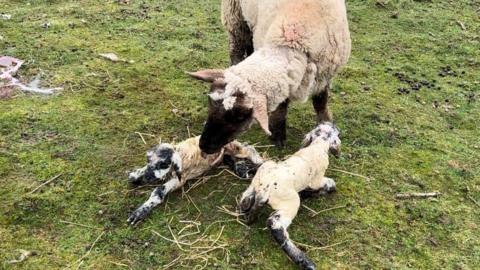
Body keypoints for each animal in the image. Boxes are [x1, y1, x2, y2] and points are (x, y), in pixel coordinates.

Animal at [126, 135, 262, 226]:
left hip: (236, 147)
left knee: (248, 148)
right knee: (227, 157)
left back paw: (257, 162)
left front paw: (139, 212)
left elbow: (159, 190)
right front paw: (135, 175)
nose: (148, 177)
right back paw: (241, 169)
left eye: (163, 163)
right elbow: (138, 173)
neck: (179, 152)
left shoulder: (180, 179)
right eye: (148, 160)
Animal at [238, 122, 340, 270]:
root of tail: (265, 189)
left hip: (261, 174)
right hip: (290, 203)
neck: (318, 145)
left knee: (245, 199)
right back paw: (303, 260)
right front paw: (323, 190)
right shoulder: (317, 180)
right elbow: (329, 183)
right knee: (275, 225)